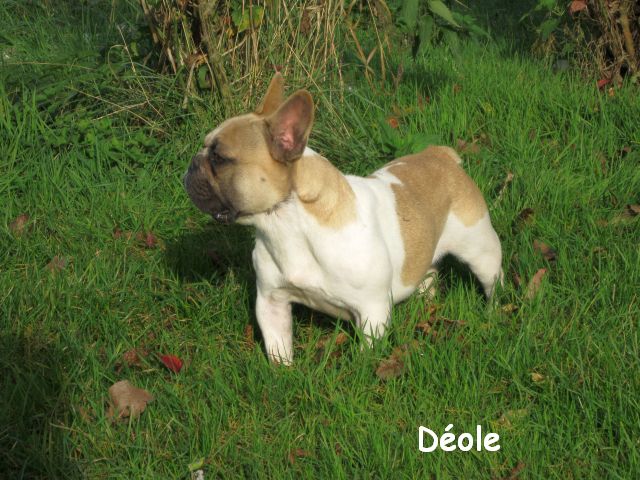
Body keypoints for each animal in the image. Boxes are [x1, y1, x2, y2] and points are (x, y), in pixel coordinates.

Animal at [184, 73, 502, 364]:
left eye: (219, 158)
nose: (191, 164)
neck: (286, 225)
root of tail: (441, 155)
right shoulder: (271, 301)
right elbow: (278, 346)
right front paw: (282, 373)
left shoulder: (372, 310)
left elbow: (366, 353)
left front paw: (361, 370)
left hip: (480, 250)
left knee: (492, 281)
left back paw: (492, 313)